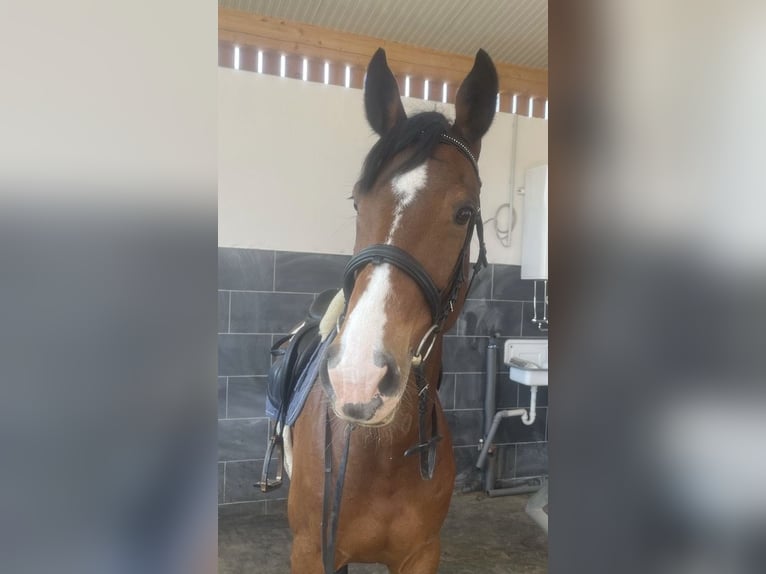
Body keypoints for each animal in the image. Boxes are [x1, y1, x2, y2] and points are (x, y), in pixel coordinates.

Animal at [287, 47, 498, 574]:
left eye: (465, 212)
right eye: (357, 203)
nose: (357, 379)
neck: (378, 454)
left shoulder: (421, 554)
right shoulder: (311, 550)